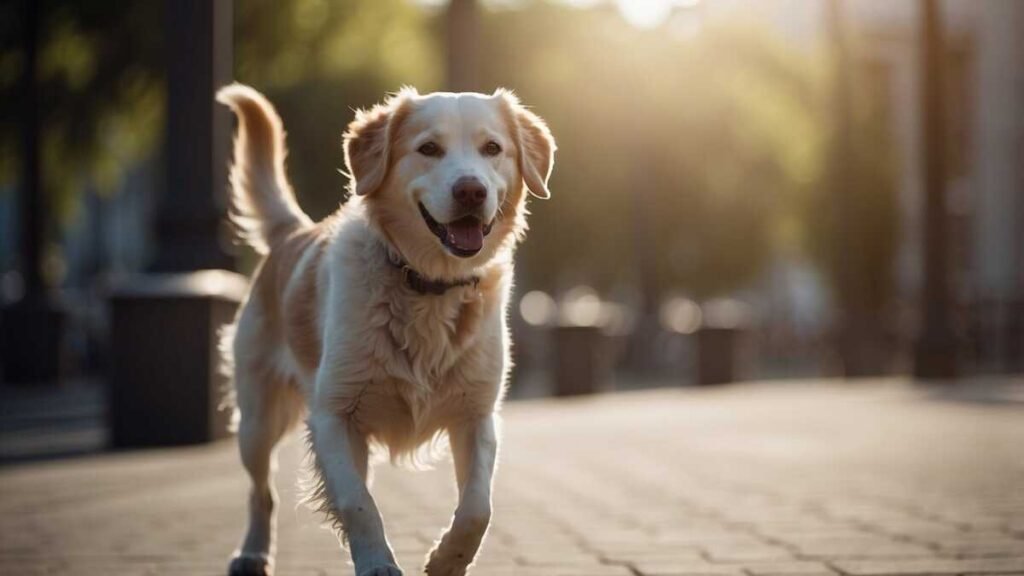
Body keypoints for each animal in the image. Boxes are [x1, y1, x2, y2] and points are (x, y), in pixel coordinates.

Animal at [211, 84, 557, 573]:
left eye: (493, 149)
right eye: (428, 149)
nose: (471, 190)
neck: (427, 285)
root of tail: (292, 233)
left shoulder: (477, 414)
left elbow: (477, 509)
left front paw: (447, 559)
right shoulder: (333, 415)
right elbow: (358, 504)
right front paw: (377, 561)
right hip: (257, 421)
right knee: (263, 493)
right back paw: (252, 552)